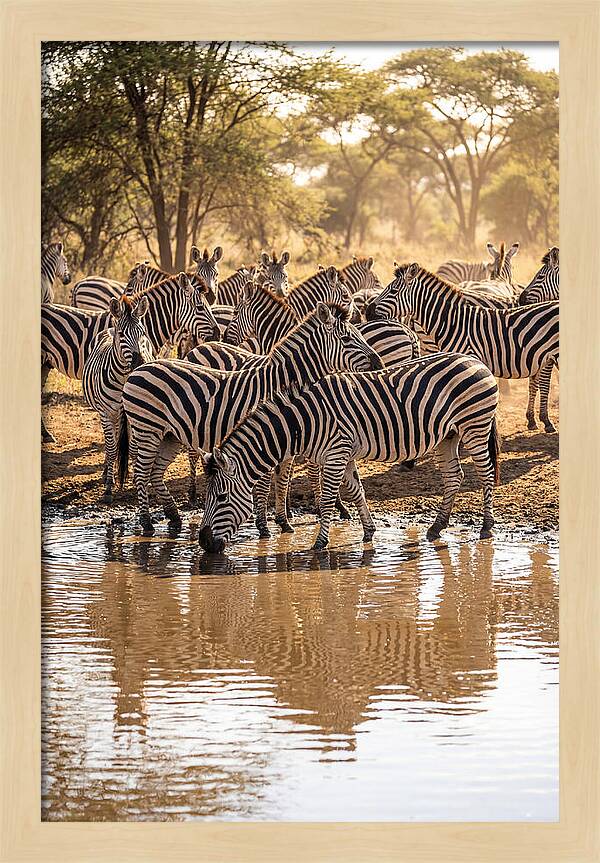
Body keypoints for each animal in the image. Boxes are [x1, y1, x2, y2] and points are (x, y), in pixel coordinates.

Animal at [41, 272, 220, 442]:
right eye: (200, 307)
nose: (218, 334)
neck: (148, 324)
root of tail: (79, 285)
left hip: (46, 363)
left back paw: (46, 434)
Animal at [82, 295, 154, 503]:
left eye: (143, 333)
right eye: (122, 335)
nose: (140, 363)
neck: (123, 380)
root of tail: (109, 328)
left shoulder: (137, 415)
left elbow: (135, 449)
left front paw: (139, 481)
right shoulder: (106, 413)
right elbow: (112, 447)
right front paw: (108, 487)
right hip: (107, 414)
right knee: (110, 443)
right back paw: (107, 471)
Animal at [116, 304, 383, 535]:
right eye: (347, 339)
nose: (379, 363)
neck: (281, 383)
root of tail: (138, 369)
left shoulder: (286, 439)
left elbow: (282, 480)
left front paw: (284, 522)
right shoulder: (267, 436)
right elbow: (265, 485)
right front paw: (264, 527)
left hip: (169, 436)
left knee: (155, 473)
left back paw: (173, 517)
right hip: (147, 430)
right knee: (141, 473)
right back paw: (147, 524)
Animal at [198, 351, 500, 553]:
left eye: (221, 497)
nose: (204, 542)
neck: (304, 421)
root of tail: (475, 361)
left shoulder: (336, 453)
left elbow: (328, 501)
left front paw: (320, 543)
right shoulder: (343, 454)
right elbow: (356, 491)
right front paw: (368, 531)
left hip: (474, 425)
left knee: (485, 474)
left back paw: (486, 526)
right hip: (447, 436)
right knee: (454, 477)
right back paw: (437, 527)